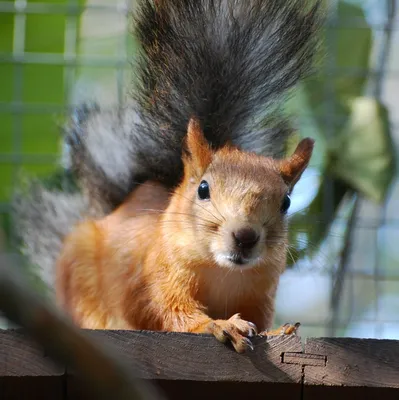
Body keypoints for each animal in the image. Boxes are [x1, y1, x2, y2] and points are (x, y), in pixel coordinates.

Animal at [14, 0, 324, 354]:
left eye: (286, 202)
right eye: (203, 189)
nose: (245, 236)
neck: (223, 271)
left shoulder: (261, 292)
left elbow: (258, 318)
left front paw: (275, 331)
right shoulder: (161, 274)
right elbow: (172, 310)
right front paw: (217, 325)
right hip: (79, 274)